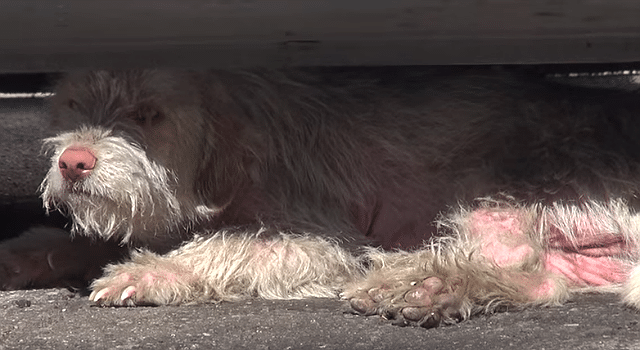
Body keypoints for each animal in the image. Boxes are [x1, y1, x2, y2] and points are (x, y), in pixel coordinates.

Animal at [1, 68, 640, 328]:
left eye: (148, 115)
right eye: (74, 105)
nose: (73, 162)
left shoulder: (319, 239)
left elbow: (226, 247)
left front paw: (153, 273)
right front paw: (22, 254)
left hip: (503, 189)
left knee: (522, 266)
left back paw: (421, 285)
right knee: (543, 281)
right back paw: (422, 286)